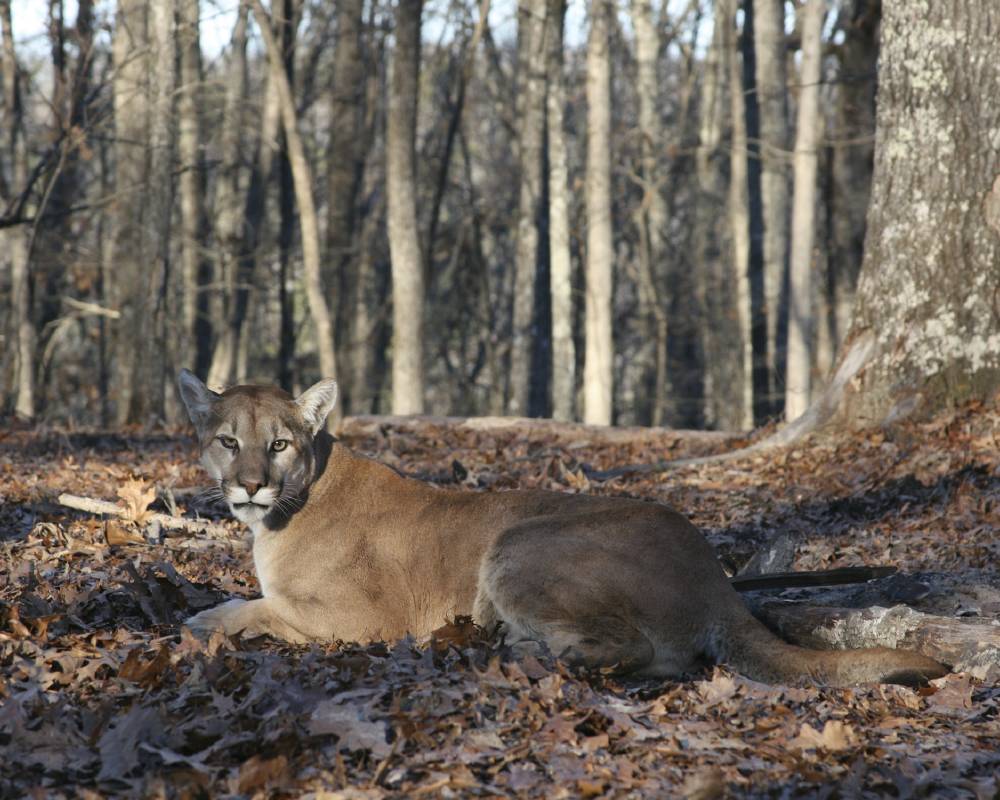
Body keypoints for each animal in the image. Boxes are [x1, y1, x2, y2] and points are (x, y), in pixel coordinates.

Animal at [178, 372, 944, 684]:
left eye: (278, 444)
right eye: (227, 441)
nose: (250, 483)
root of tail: (713, 574)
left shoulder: (362, 619)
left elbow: (260, 608)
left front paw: (203, 622)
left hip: (520, 543)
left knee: (643, 652)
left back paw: (521, 651)